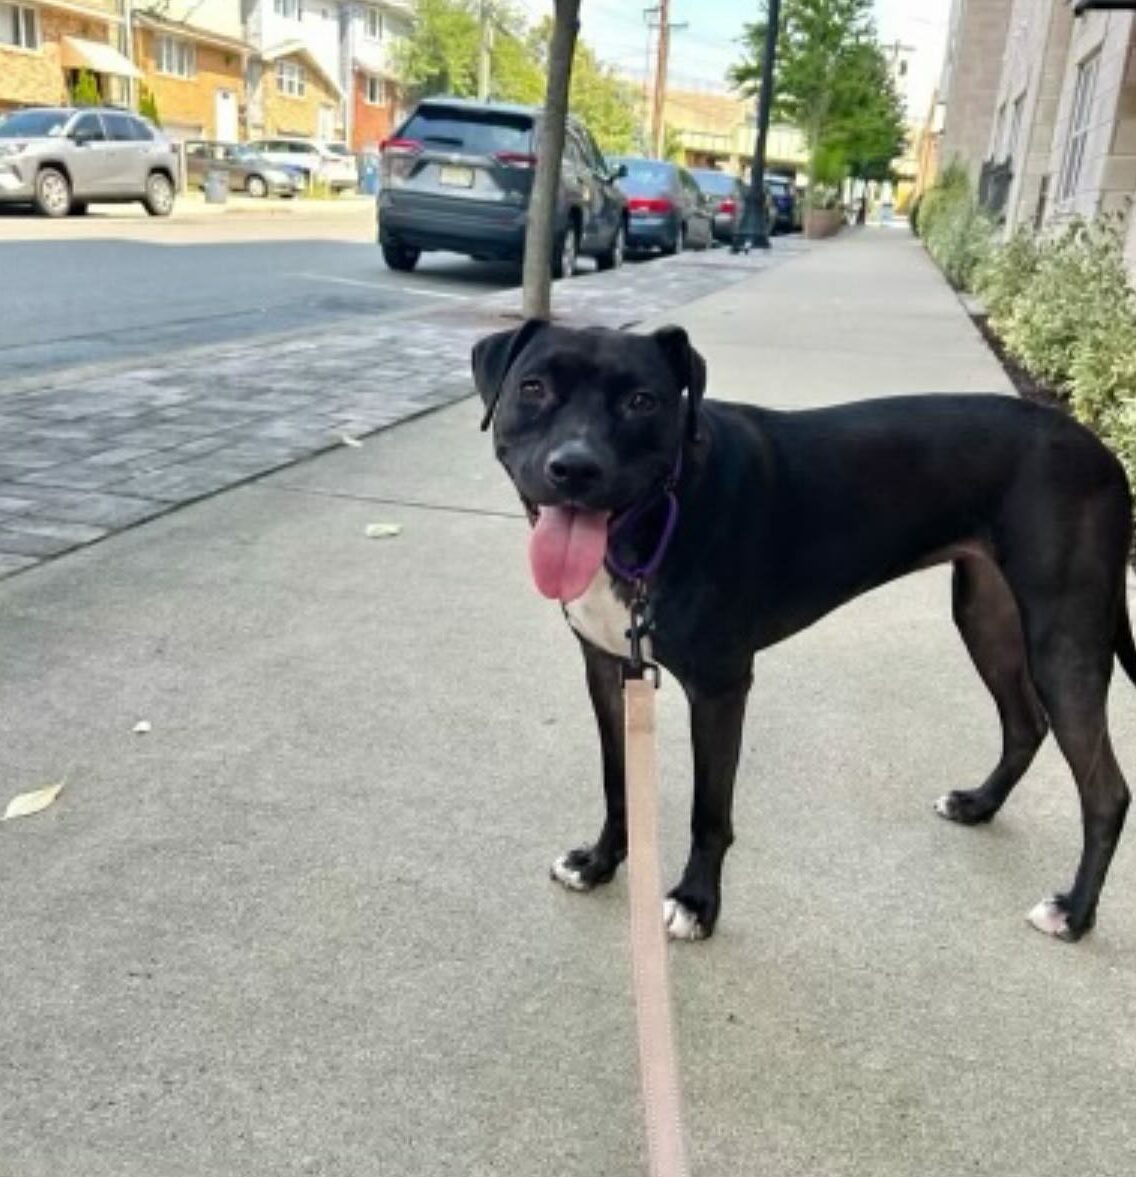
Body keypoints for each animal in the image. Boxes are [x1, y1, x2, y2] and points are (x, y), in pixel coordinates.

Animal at [470, 317, 1134, 941]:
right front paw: (600, 862)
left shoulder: (720, 687)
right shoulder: (607, 668)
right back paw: (978, 805)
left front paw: (696, 902)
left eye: (642, 401)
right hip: (986, 614)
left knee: (1106, 791)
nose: (574, 468)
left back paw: (1075, 912)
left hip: (1064, 640)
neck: (657, 517)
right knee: (1025, 723)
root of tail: (1103, 453)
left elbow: (709, 810)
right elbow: (618, 783)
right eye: (533, 388)